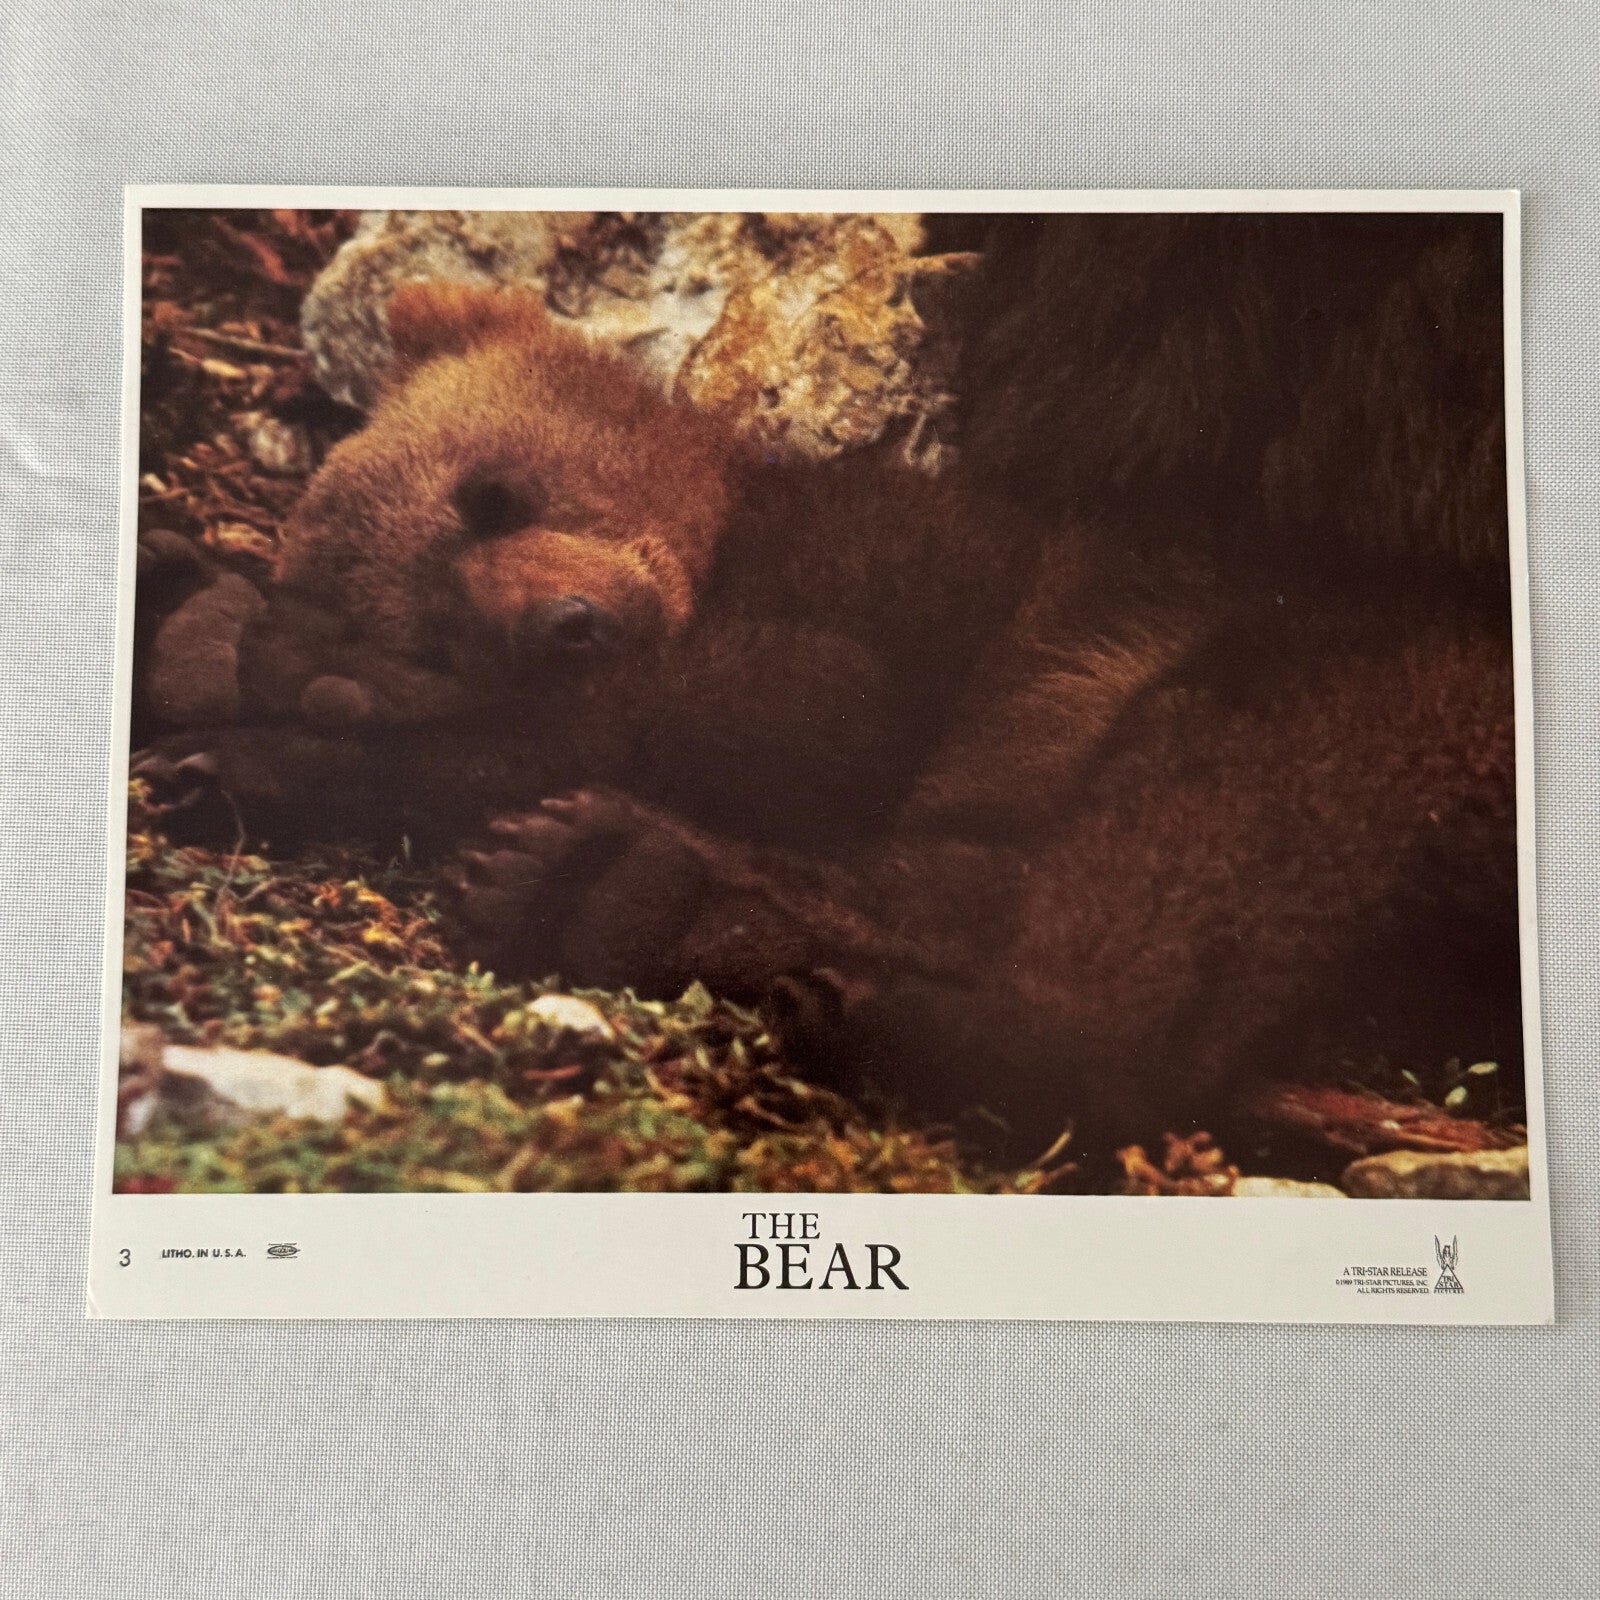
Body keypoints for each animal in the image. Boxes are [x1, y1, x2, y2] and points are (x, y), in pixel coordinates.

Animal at [134, 212, 1524, 1168]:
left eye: (498, 488)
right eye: (425, 637)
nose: (569, 624)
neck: (731, 546)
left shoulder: (913, 594)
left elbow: (791, 714)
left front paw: (240, 712)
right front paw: (199, 637)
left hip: (1343, 684)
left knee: (1194, 847)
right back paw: (632, 892)